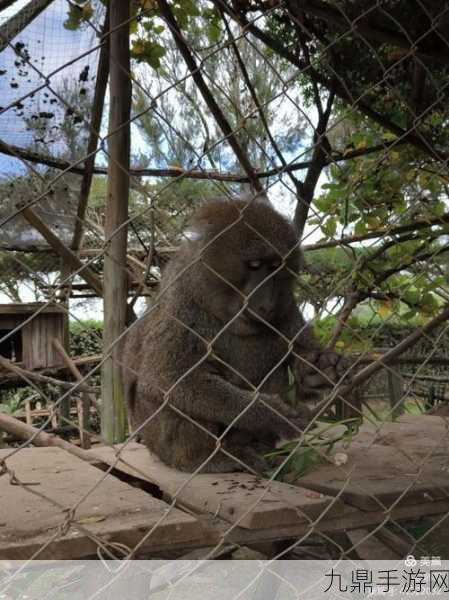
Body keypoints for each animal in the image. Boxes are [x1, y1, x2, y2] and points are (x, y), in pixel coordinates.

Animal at [121, 198, 352, 474]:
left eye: (275, 267)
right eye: (254, 265)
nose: (266, 303)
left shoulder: (286, 305)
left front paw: (321, 370)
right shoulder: (181, 300)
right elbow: (164, 381)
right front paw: (270, 414)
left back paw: (258, 450)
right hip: (160, 444)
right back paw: (207, 459)